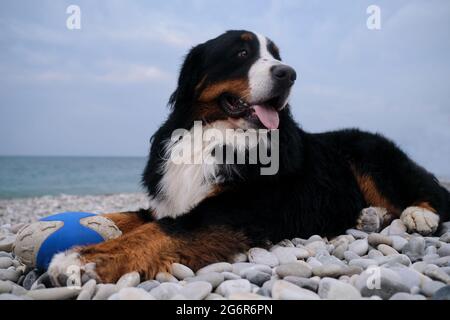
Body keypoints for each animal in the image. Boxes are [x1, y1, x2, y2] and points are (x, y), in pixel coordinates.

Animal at [47, 30, 448, 284]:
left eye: (277, 57)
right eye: (241, 53)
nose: (289, 73)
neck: (215, 134)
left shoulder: (235, 208)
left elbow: (162, 231)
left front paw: (80, 260)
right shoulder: (170, 201)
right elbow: (132, 216)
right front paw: (87, 222)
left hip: (368, 153)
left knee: (431, 193)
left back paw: (419, 215)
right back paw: (369, 216)